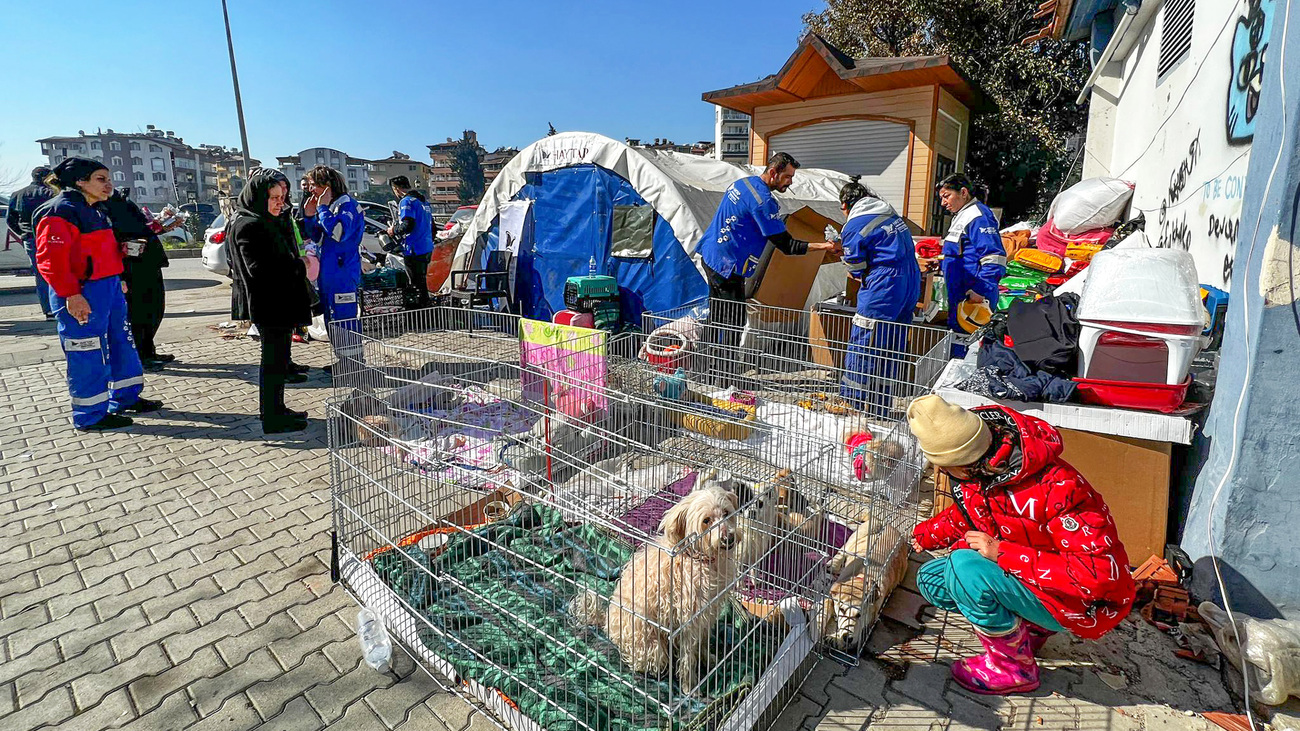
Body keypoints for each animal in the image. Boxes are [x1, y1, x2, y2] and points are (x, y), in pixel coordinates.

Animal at [572, 478, 743, 686]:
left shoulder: (705, 616)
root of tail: (605, 622)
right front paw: (689, 687)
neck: (698, 558)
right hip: (654, 649)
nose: (729, 538)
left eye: (726, 513)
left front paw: (707, 659)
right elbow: (688, 659)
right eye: (706, 521)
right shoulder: (688, 622)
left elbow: (702, 643)